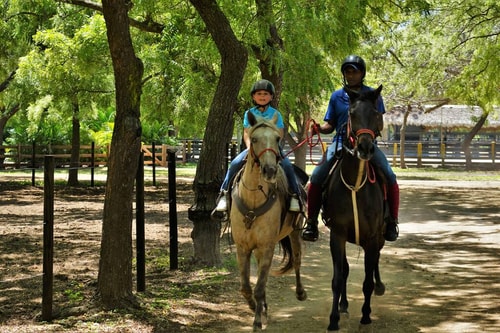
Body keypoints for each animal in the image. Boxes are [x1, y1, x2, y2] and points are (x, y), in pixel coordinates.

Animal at [229, 111, 304, 330]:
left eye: (277, 139)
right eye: (254, 139)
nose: (270, 170)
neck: (253, 199)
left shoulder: (267, 246)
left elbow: (260, 287)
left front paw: (256, 321)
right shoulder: (243, 247)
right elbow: (246, 287)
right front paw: (256, 307)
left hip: (295, 232)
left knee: (297, 260)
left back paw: (300, 292)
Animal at [322, 85, 388, 330]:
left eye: (376, 113)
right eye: (351, 114)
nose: (365, 147)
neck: (355, 184)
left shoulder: (372, 237)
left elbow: (367, 280)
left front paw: (366, 315)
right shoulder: (338, 234)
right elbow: (338, 277)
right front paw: (333, 319)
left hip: (380, 236)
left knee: (375, 261)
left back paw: (380, 286)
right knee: (347, 269)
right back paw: (343, 305)